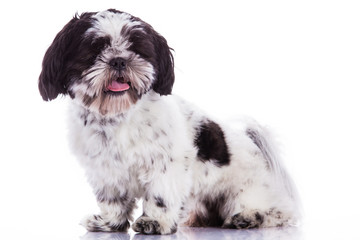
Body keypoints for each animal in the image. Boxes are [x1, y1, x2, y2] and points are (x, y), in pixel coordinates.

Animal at [38, 8, 300, 234]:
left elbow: (160, 195)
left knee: (279, 213)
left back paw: (249, 217)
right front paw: (109, 223)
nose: (119, 60)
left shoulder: (165, 164)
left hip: (246, 191)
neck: (118, 117)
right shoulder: (105, 170)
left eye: (137, 49)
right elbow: (112, 199)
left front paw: (154, 222)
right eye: (93, 51)